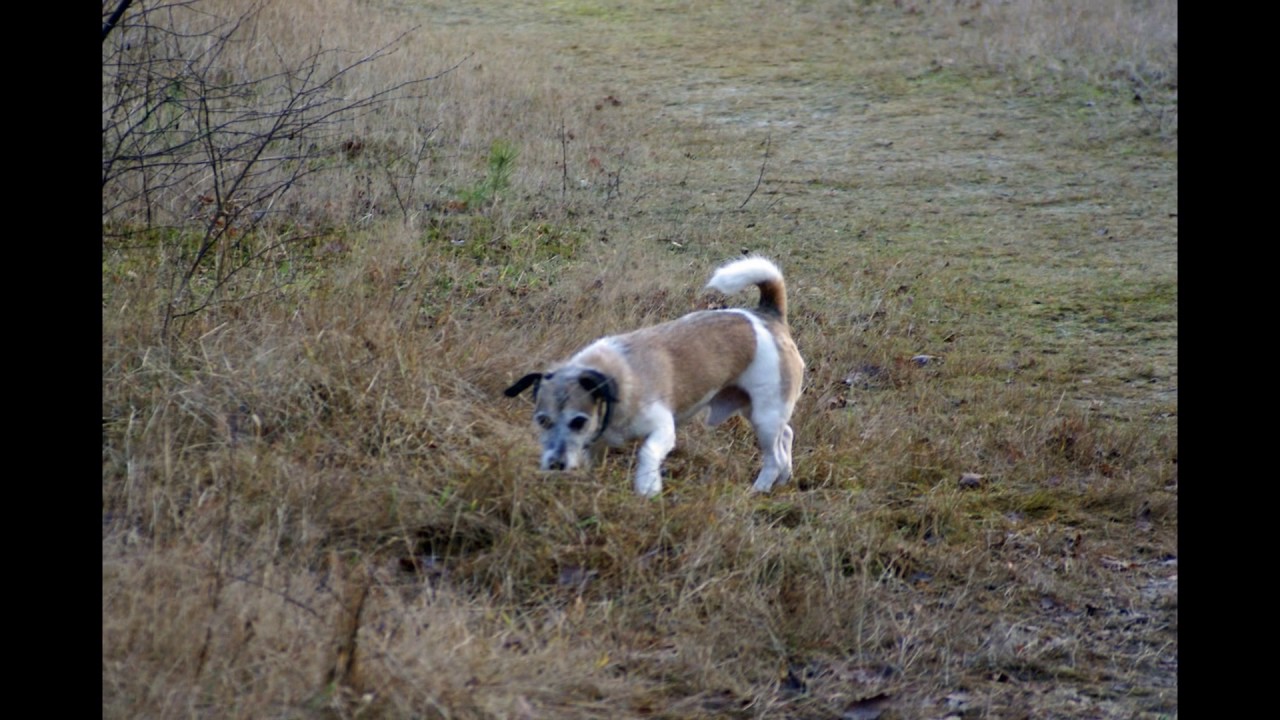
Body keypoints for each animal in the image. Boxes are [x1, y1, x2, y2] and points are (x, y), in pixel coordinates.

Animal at [504, 254, 803, 497]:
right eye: (542, 421)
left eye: (578, 421)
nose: (555, 464)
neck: (615, 376)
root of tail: (767, 315)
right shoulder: (595, 444)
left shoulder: (663, 428)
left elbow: (647, 452)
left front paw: (648, 485)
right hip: (752, 409)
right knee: (786, 434)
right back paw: (784, 477)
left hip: (765, 415)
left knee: (773, 456)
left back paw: (760, 488)